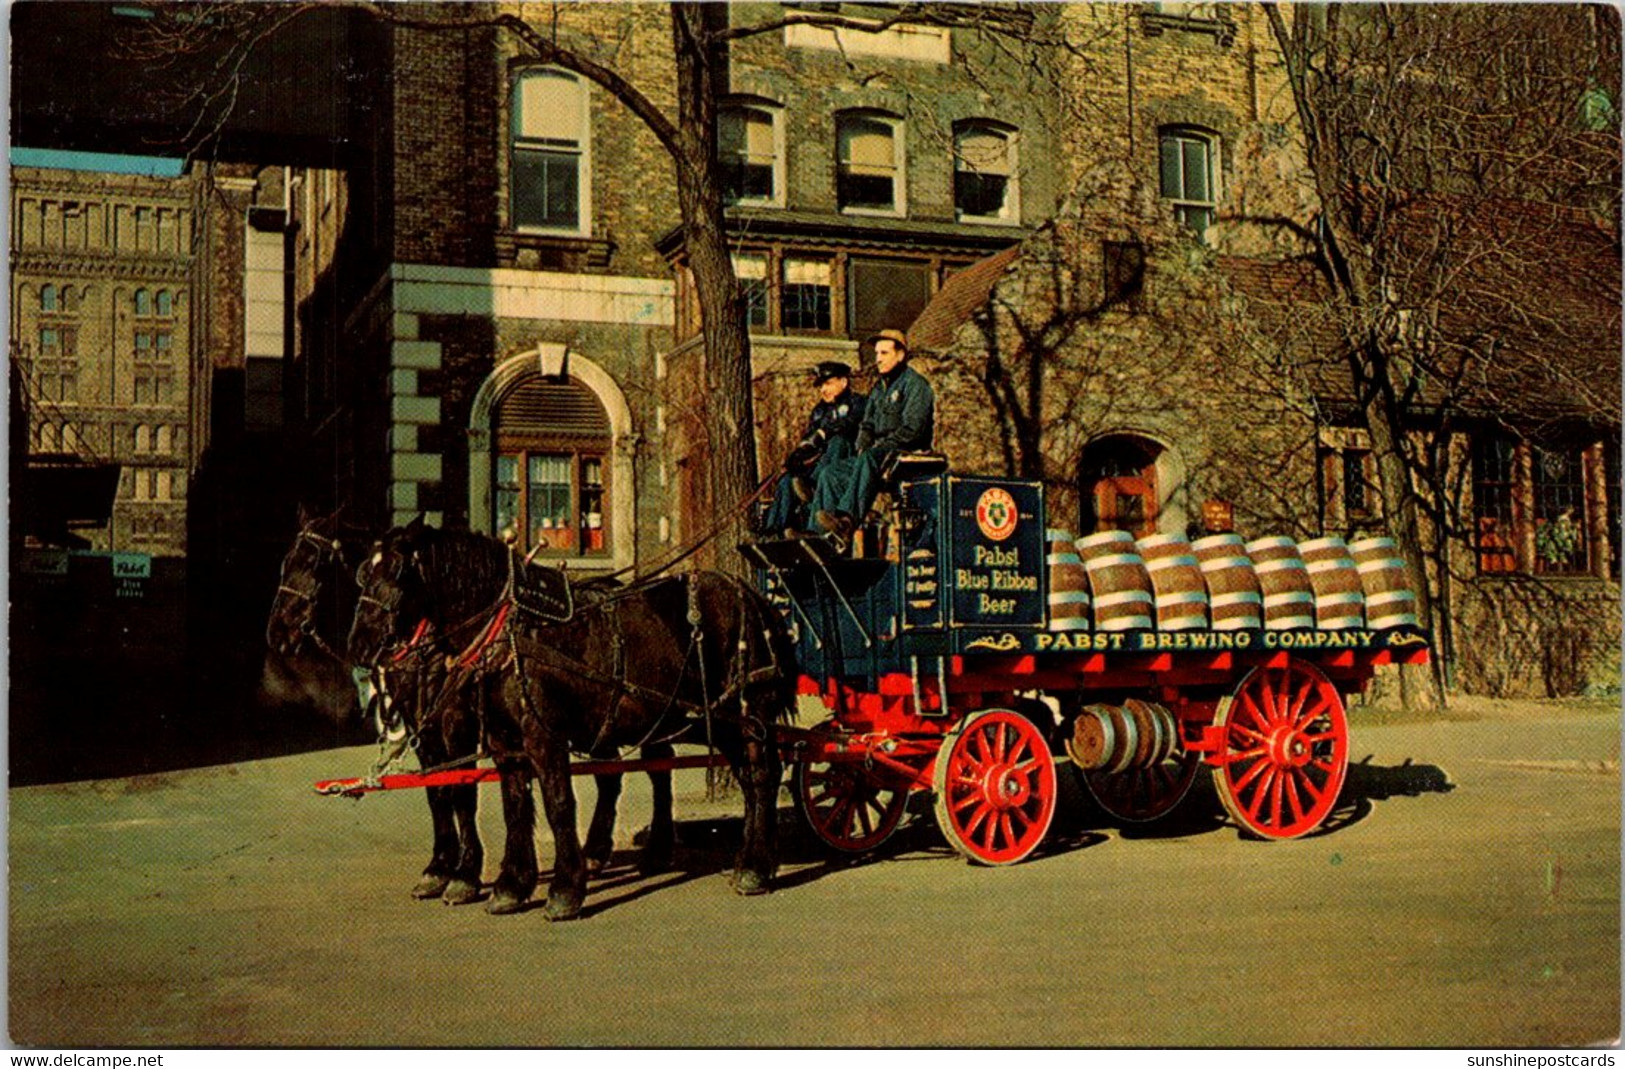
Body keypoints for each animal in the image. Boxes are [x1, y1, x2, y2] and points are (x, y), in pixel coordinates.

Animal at [351, 519, 799, 922]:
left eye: (397, 572)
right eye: (363, 574)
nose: (359, 643)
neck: (510, 631)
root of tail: (752, 597)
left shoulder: (533, 735)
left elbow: (553, 804)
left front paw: (562, 890)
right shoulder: (499, 741)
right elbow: (508, 805)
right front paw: (508, 885)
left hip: (743, 712)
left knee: (761, 774)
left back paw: (755, 867)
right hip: (698, 718)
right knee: (704, 773)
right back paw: (714, 856)